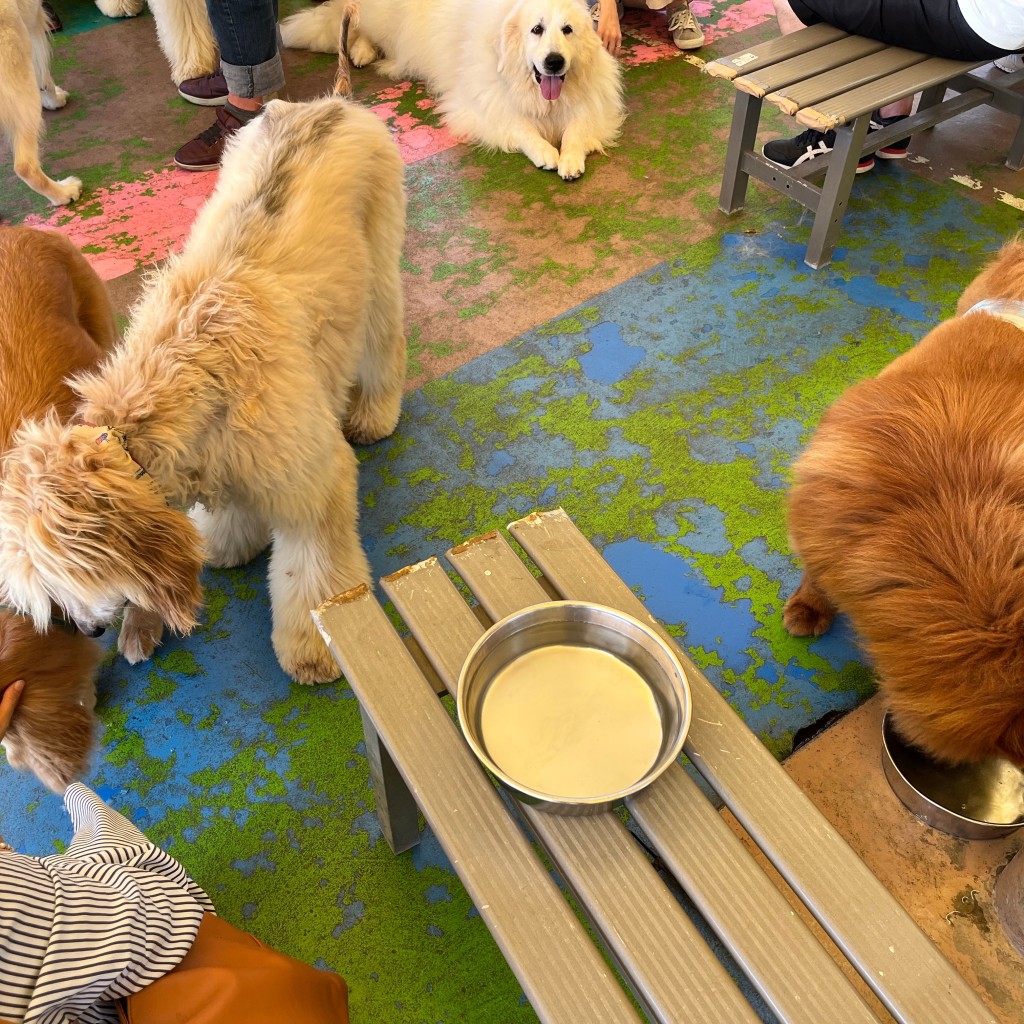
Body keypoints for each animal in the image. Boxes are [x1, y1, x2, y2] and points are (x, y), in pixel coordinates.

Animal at [0, 56, 405, 684]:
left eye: (70, 577)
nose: (89, 631)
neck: (176, 382)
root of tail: (332, 102)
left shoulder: (313, 484)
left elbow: (313, 575)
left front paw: (314, 647)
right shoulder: (223, 461)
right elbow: (232, 511)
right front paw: (226, 541)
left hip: (378, 266)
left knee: (384, 340)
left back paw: (374, 413)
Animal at [278, 0, 622, 180]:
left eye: (568, 30)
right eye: (536, 29)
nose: (554, 62)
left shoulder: (591, 102)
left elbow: (577, 127)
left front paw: (570, 157)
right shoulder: (481, 107)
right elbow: (521, 127)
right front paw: (546, 151)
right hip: (386, 22)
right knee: (354, 23)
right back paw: (362, 52)